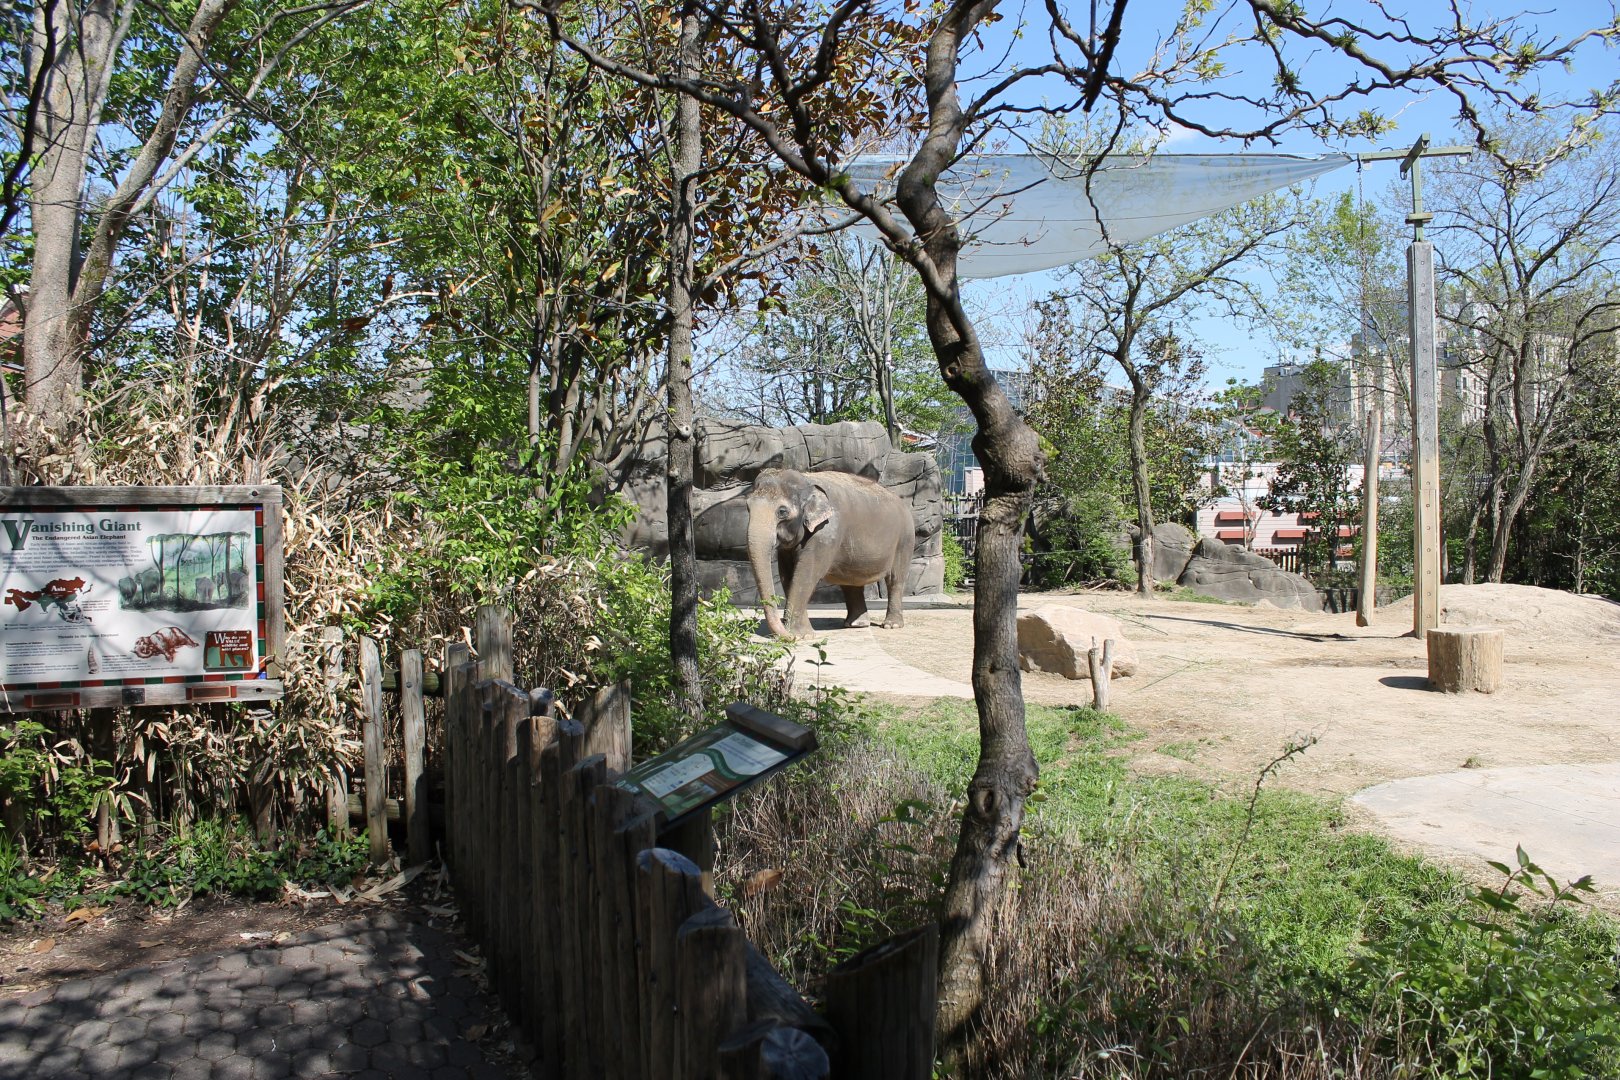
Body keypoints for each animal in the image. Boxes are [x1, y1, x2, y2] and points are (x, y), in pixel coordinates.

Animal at [746, 468, 914, 640]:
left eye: (782, 511)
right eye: (748, 507)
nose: (785, 636)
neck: (806, 479)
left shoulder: (826, 532)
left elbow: (806, 574)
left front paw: (800, 636)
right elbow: (788, 575)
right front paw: (804, 634)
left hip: (905, 539)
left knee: (895, 579)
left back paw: (891, 625)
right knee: (851, 582)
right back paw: (855, 624)